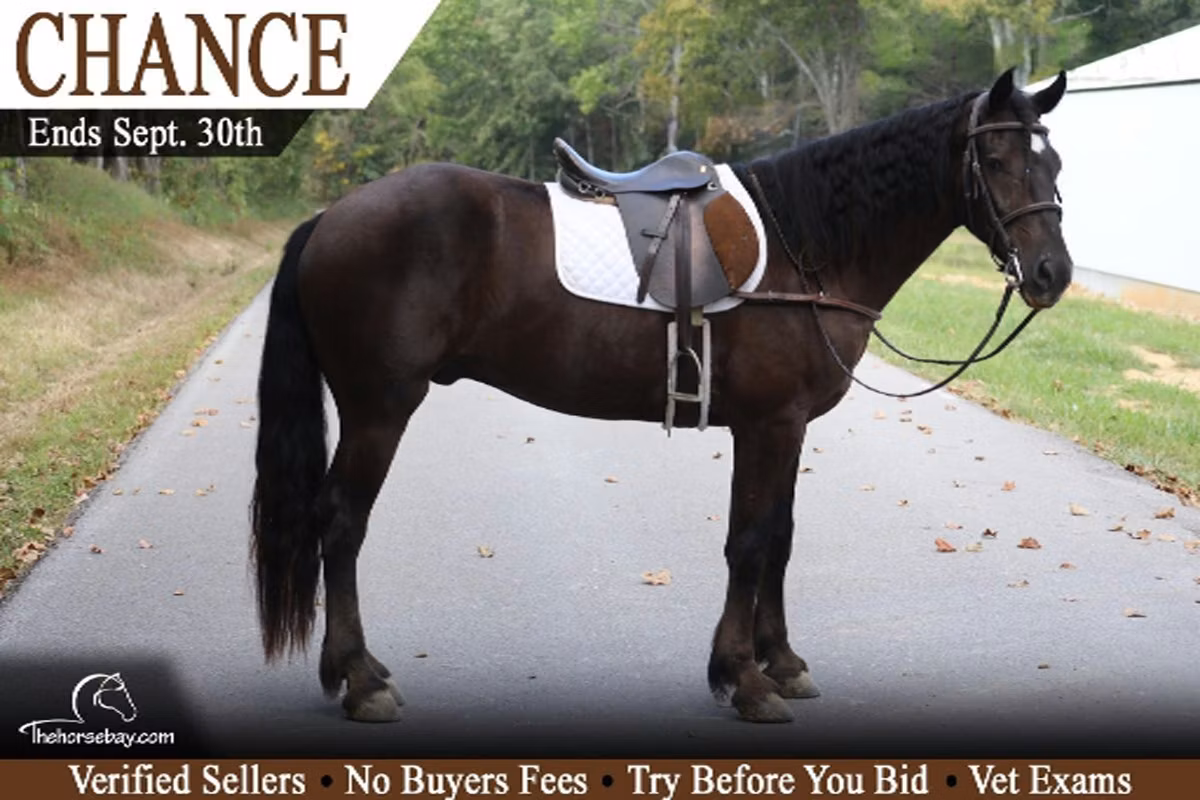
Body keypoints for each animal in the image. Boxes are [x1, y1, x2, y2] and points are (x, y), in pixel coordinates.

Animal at [251, 69, 1072, 724]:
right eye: (995, 159)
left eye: (1054, 161)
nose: (1052, 273)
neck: (807, 248)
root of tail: (331, 217)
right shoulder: (768, 426)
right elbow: (749, 542)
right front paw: (743, 680)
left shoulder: (790, 428)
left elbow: (780, 538)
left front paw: (781, 663)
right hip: (379, 408)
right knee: (341, 524)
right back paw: (361, 682)